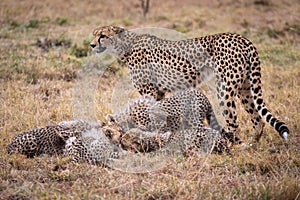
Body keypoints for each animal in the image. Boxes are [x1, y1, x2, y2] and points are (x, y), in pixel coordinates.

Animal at [90, 25, 290, 142]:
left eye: (102, 35)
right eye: (94, 35)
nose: (91, 45)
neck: (126, 46)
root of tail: (243, 39)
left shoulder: (149, 91)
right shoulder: (159, 92)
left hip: (225, 88)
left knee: (233, 121)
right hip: (245, 88)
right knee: (258, 119)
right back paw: (251, 145)